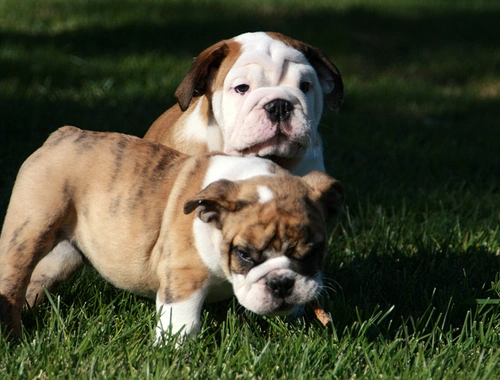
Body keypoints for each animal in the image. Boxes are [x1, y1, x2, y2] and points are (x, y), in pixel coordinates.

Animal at [0, 125, 344, 342]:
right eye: (244, 255)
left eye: (314, 251)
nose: (281, 283)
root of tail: (64, 134)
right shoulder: (183, 277)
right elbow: (182, 321)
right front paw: (173, 352)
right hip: (29, 230)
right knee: (14, 279)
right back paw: (13, 336)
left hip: (63, 255)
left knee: (36, 282)